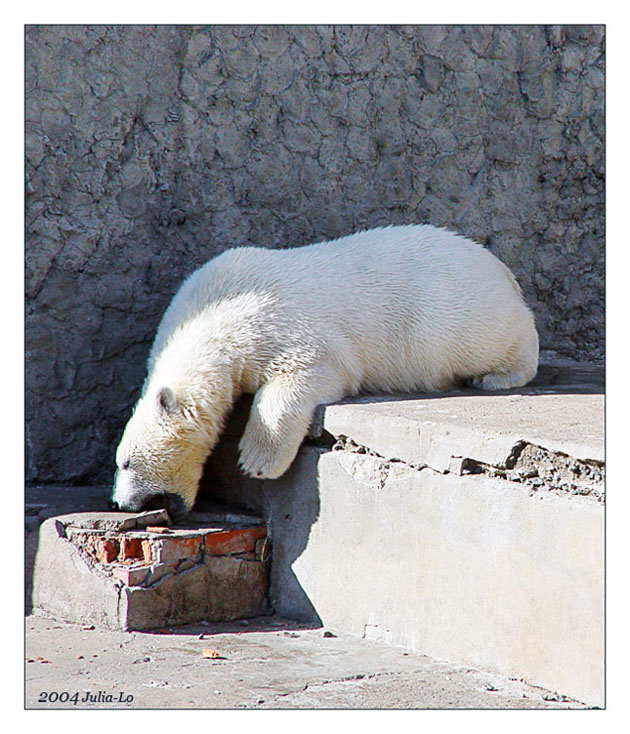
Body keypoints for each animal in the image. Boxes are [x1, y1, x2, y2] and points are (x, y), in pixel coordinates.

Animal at [111, 224, 539, 520]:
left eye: (126, 462)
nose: (120, 503)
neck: (209, 314)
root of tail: (500, 270)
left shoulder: (271, 324)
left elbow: (311, 369)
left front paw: (256, 460)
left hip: (453, 317)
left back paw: (498, 375)